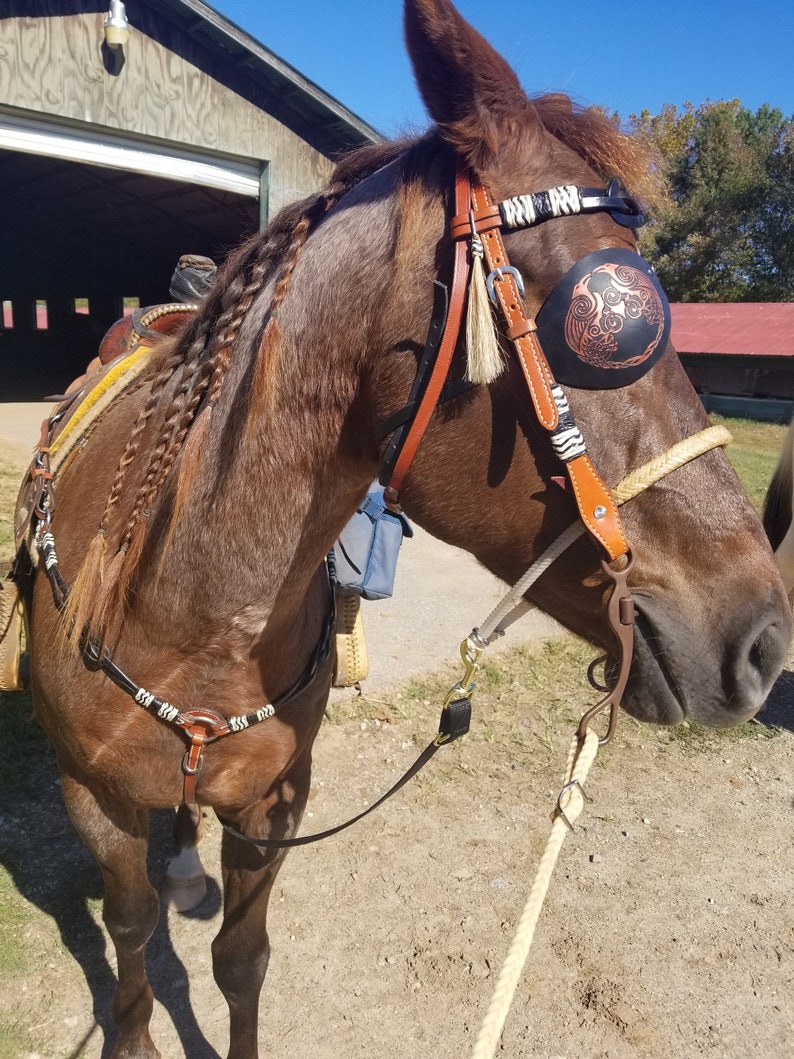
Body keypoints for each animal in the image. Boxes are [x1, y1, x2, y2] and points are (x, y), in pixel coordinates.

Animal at [15, 1, 791, 1056]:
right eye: (614, 320)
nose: (764, 639)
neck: (192, 610)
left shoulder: (274, 800)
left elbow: (239, 961)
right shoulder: (94, 800)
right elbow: (132, 948)